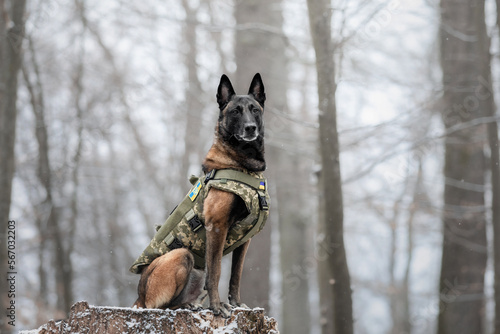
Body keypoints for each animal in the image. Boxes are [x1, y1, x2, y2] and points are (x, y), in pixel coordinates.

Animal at [131, 72, 268, 316]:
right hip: (181, 255)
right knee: (160, 307)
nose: (250, 128)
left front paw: (236, 304)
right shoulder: (217, 226)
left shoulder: (245, 240)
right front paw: (217, 306)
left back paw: (191, 305)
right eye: (235, 111)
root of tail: (139, 294)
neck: (241, 163)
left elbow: (235, 275)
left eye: (254, 109)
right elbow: (216, 273)